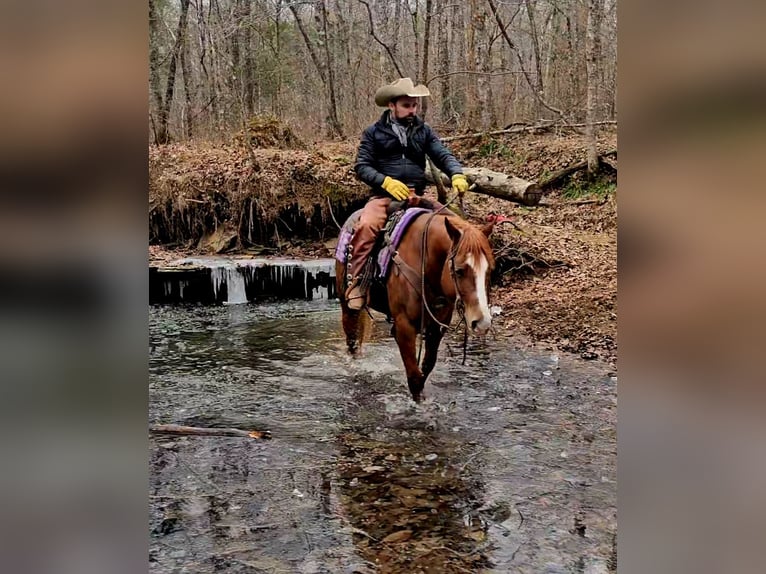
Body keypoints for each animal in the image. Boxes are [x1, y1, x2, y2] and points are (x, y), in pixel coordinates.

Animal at [336, 204, 496, 402]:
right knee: (352, 341)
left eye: (490, 270)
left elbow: (426, 367)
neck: (424, 261)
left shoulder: (437, 327)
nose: (482, 322)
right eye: (459, 270)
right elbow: (414, 376)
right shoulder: (404, 327)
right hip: (347, 305)